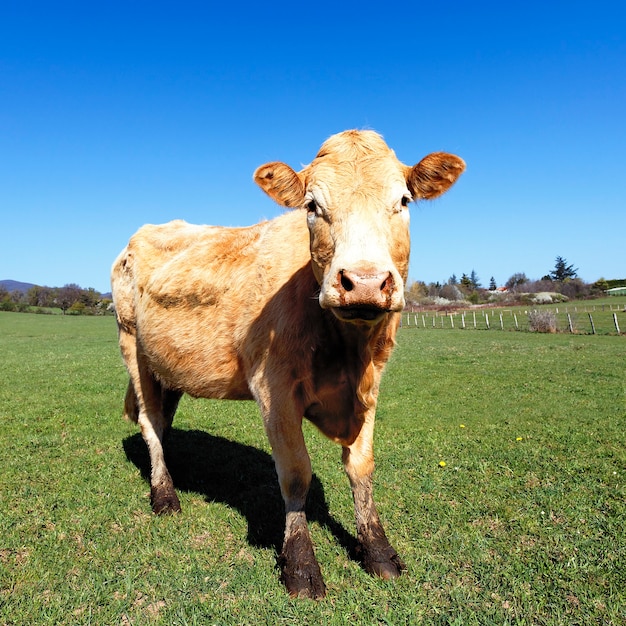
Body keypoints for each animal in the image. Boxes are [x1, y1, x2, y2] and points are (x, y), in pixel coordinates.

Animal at [111, 129, 464, 596]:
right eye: (312, 206)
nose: (364, 283)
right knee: (149, 422)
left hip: (166, 365)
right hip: (132, 346)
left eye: (403, 200)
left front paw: (378, 551)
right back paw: (165, 494)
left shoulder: (371, 386)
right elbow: (296, 473)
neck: (346, 351)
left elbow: (362, 469)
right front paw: (300, 565)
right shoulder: (273, 389)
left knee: (162, 421)